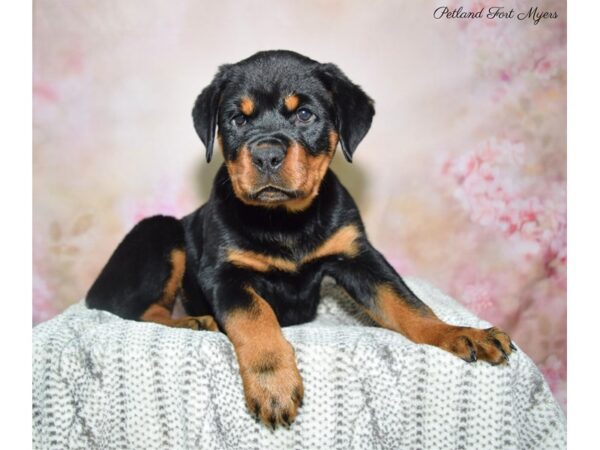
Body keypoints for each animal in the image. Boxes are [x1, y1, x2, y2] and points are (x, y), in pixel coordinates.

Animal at [86, 50, 512, 428]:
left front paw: (460, 333)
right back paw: (194, 322)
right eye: (237, 119)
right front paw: (273, 384)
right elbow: (255, 316)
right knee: (133, 309)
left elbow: (407, 303)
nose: (266, 155)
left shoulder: (358, 257)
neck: (285, 219)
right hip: (161, 230)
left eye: (304, 114)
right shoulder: (223, 274)